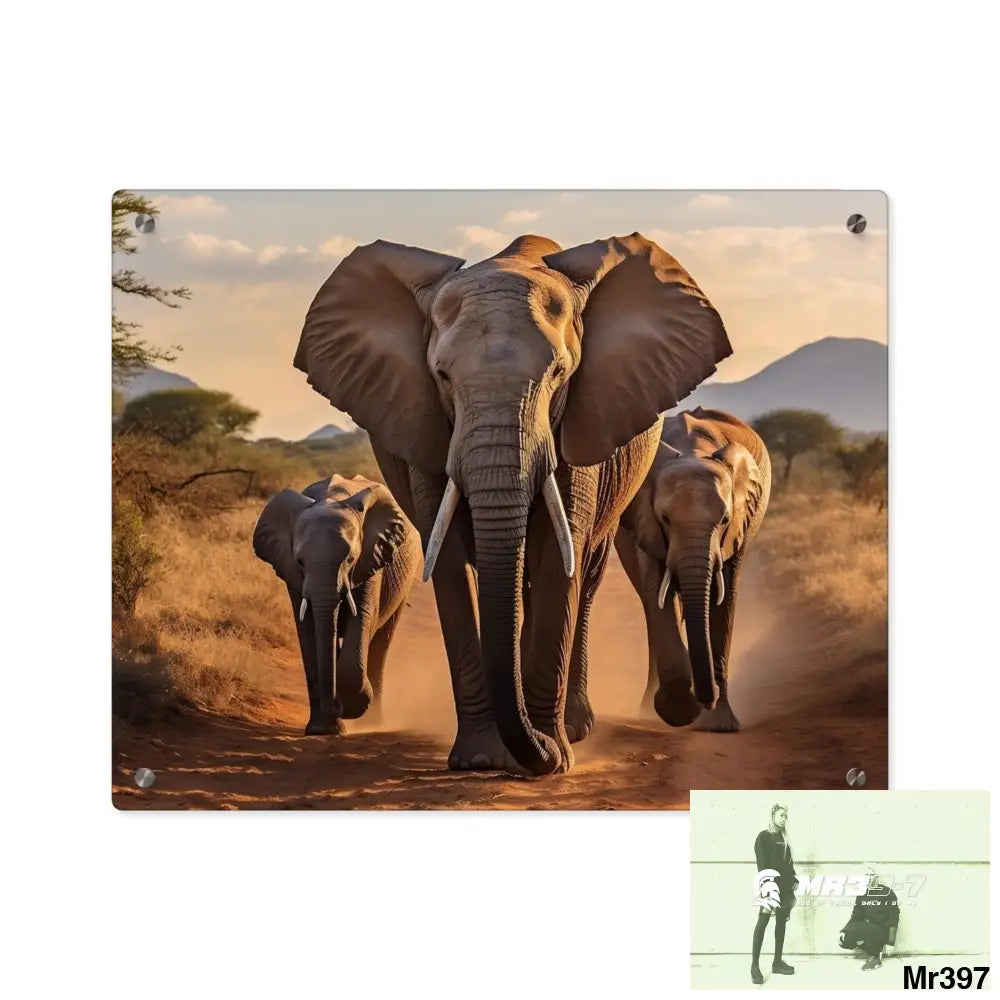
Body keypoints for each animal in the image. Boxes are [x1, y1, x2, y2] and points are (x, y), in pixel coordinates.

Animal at [253, 474, 421, 735]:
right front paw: (321, 730)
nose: (337, 704)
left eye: (350, 559)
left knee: (381, 644)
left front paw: (352, 707)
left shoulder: (371, 557)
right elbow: (308, 628)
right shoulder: (293, 573)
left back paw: (372, 723)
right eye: (300, 561)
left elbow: (362, 617)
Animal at [293, 233, 732, 775]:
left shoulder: (582, 422)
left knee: (585, 573)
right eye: (441, 375)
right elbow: (451, 564)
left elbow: (559, 562)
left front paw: (552, 758)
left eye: (560, 372)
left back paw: (572, 729)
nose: (536, 753)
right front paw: (482, 759)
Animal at [615, 407, 771, 732]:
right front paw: (679, 712)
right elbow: (655, 590)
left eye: (725, 520)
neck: (693, 451)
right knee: (650, 601)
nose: (705, 700)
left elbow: (725, 596)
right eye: (665, 518)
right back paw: (649, 711)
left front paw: (720, 726)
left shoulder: (739, 527)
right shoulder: (645, 518)